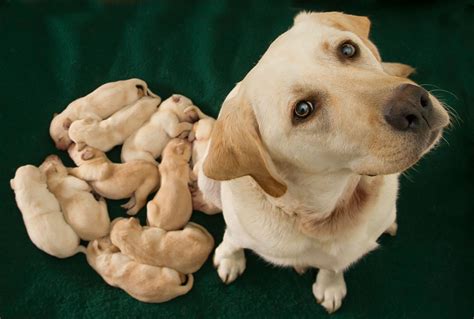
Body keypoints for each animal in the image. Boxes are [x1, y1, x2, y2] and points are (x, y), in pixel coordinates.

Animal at [202, 11, 450, 314]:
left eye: (348, 49)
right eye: (303, 109)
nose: (413, 104)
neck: (320, 216)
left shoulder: (345, 252)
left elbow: (333, 267)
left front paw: (330, 286)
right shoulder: (239, 227)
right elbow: (233, 237)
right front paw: (229, 258)